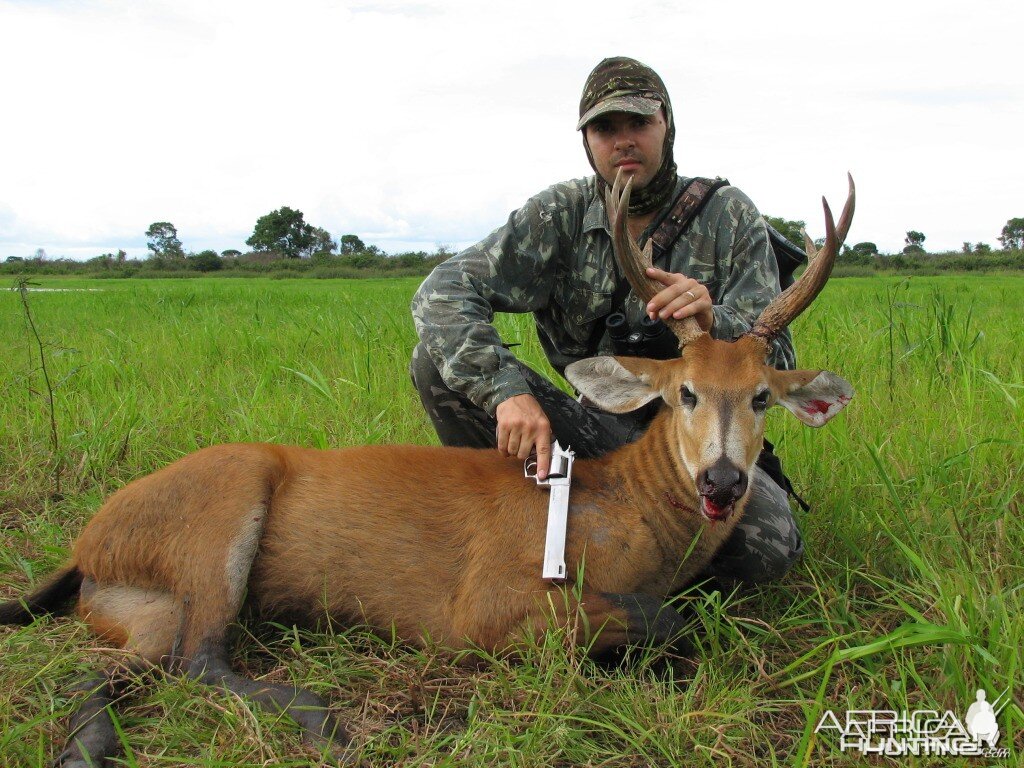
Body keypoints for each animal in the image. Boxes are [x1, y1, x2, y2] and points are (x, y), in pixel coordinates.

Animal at [0, 176, 856, 768]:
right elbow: (671, 620)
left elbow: (682, 617)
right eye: (684, 391)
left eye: (762, 396)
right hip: (224, 508)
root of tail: (87, 541)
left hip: (138, 606)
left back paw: (86, 748)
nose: (723, 483)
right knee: (199, 660)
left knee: (105, 671)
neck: (620, 514)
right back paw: (324, 719)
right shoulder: (490, 606)